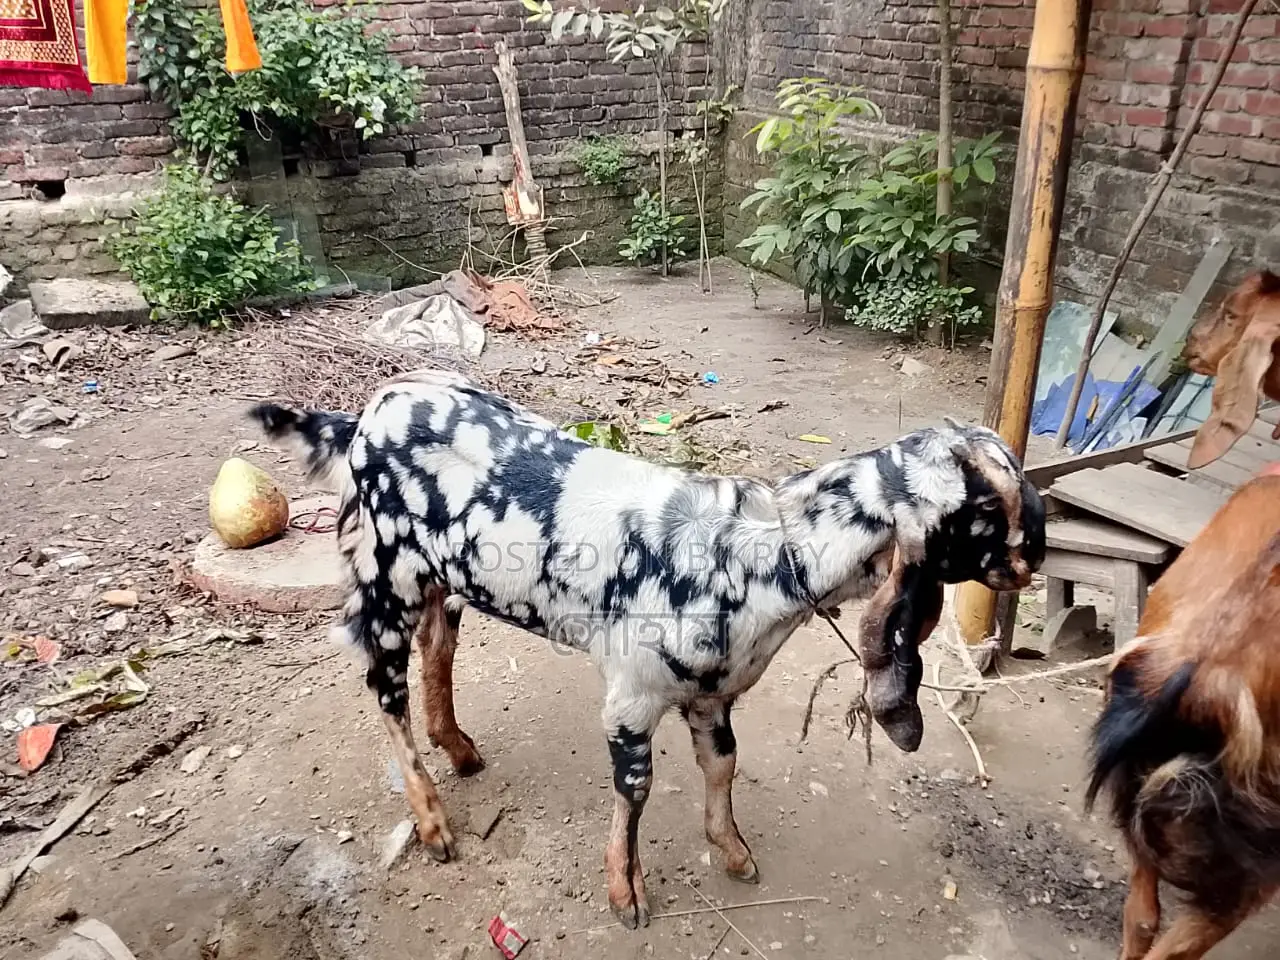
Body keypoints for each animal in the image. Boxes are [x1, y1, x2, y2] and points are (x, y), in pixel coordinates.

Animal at [250, 369, 1044, 929]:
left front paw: (732, 852)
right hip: (382, 576)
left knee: (437, 650)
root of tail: (362, 417)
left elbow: (723, 767)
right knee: (385, 692)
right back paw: (433, 820)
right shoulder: (631, 695)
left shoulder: (712, 693)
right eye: (989, 504)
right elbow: (635, 791)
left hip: (444, 580)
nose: (1034, 556)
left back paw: (460, 747)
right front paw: (624, 892)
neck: (762, 553)